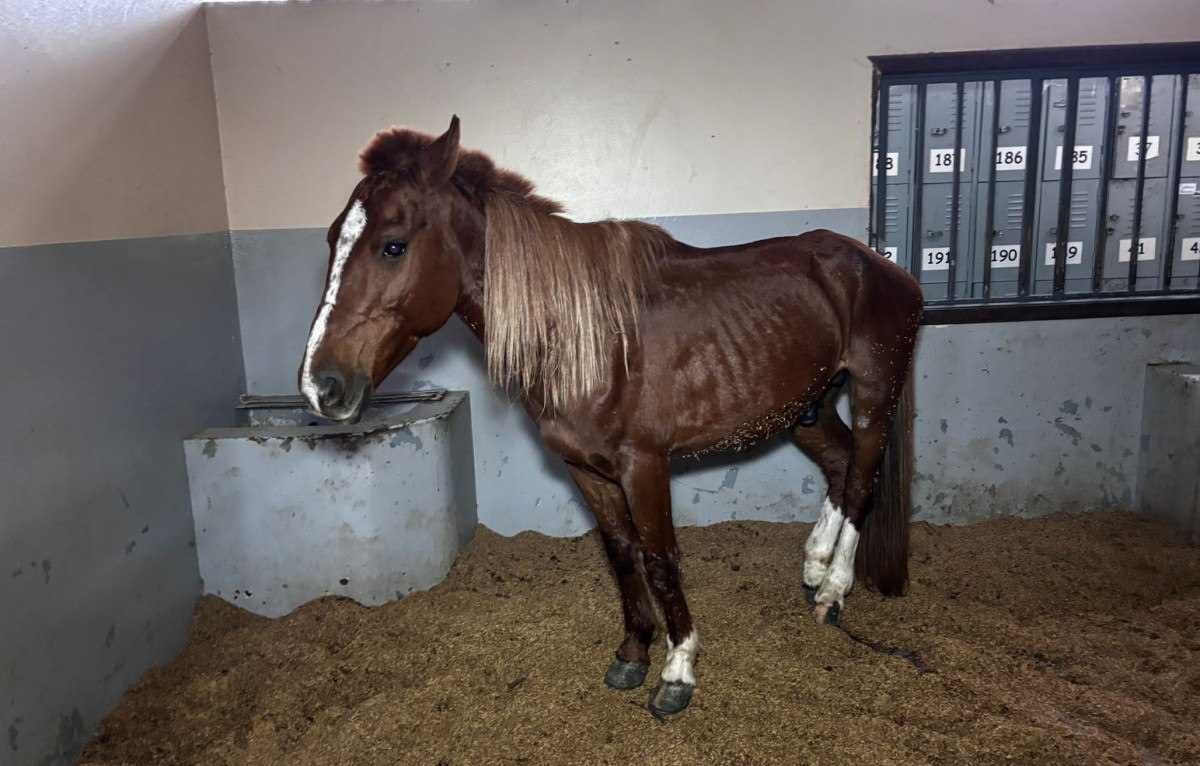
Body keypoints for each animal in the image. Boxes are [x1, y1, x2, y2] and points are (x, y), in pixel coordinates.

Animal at [295, 115, 921, 720]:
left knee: (862, 479)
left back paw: (833, 589)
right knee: (839, 466)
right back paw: (814, 566)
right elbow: (621, 554)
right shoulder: (586, 471)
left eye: (393, 246)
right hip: (806, 409)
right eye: (330, 239)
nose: (321, 386)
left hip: (873, 394)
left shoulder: (643, 466)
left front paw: (677, 671)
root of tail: (882, 267)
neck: (584, 336)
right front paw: (632, 654)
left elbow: (660, 558)